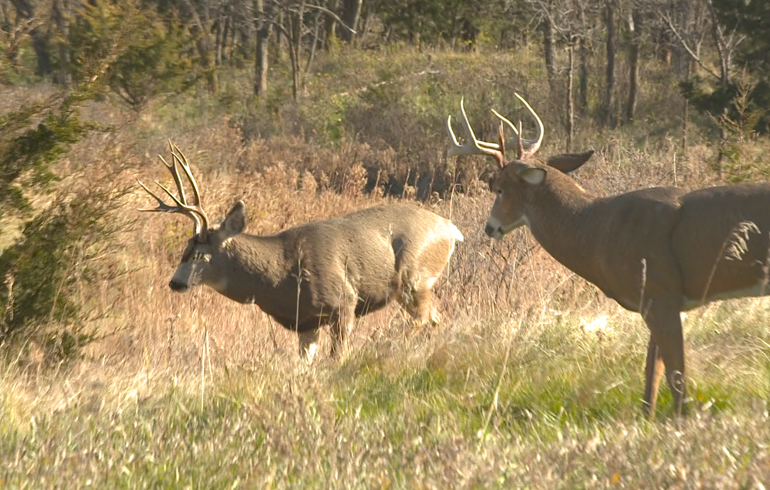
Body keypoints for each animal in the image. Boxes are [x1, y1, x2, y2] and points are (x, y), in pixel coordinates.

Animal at [138, 143, 462, 364]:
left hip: (415, 278)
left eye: (200, 254)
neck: (280, 275)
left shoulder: (344, 301)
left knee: (422, 319)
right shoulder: (305, 322)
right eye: (185, 248)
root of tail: (450, 228)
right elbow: (304, 363)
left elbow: (337, 357)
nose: (175, 282)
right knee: (435, 318)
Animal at [444, 94, 768, 418]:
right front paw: (647, 419)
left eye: (498, 189)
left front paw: (679, 421)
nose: (490, 227)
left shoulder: (660, 291)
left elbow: (676, 374)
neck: (597, 229)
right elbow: (652, 371)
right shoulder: (655, 298)